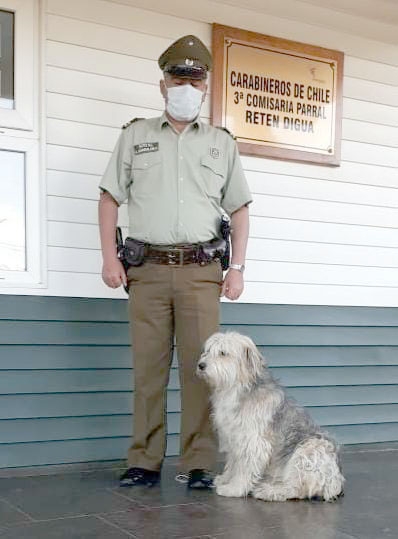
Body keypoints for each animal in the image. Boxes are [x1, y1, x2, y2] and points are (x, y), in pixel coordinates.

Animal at [197, 332, 344, 504]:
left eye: (223, 353)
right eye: (207, 351)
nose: (201, 365)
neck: (237, 388)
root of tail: (336, 483)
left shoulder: (253, 441)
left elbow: (244, 467)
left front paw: (234, 488)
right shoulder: (233, 436)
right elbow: (233, 462)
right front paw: (226, 478)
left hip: (310, 449)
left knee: (296, 489)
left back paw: (270, 491)